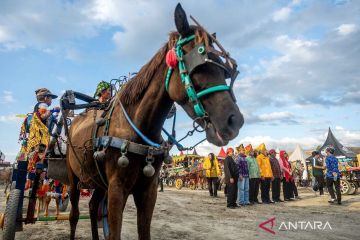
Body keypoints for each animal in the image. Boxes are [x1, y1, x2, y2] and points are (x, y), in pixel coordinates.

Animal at [66, 4, 243, 240]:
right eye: (198, 67)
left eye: (224, 70)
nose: (234, 121)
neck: (138, 129)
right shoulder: (117, 189)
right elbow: (113, 232)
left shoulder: (148, 191)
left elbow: (144, 231)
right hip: (74, 179)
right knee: (75, 215)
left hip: (99, 183)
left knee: (94, 208)